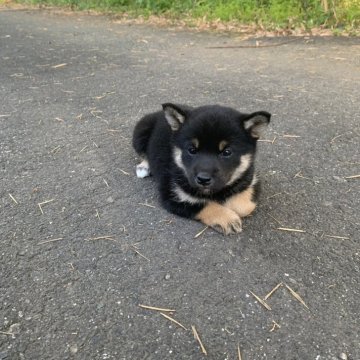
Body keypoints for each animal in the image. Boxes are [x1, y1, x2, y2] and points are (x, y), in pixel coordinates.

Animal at [132, 102, 270, 235]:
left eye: (227, 152)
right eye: (192, 150)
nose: (203, 179)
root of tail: (158, 113)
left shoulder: (252, 180)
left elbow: (244, 206)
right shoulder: (173, 194)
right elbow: (204, 204)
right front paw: (227, 219)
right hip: (140, 132)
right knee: (144, 153)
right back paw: (144, 167)